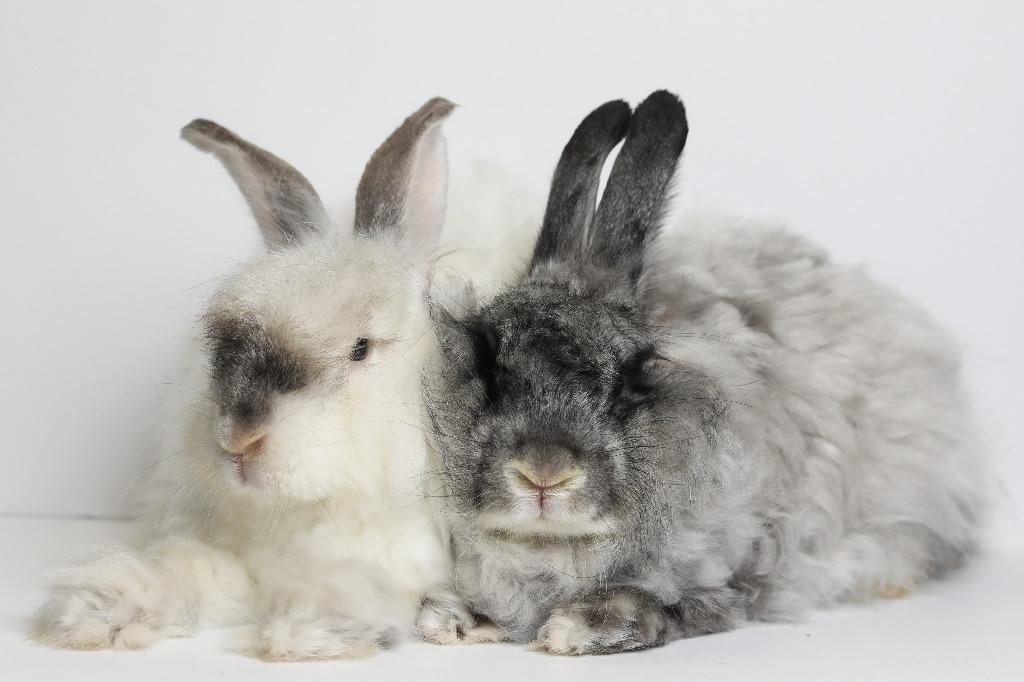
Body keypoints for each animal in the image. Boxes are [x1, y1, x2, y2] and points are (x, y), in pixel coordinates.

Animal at [31, 97, 462, 660]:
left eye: (361, 350)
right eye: (226, 341)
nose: (239, 437)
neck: (302, 512)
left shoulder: (400, 564)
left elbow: (350, 584)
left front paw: (310, 627)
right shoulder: (227, 556)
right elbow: (183, 570)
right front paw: (95, 611)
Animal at [416, 90, 989, 655]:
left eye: (628, 384)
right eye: (489, 365)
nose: (544, 472)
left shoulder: (737, 573)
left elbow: (667, 607)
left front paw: (574, 629)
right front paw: (450, 620)